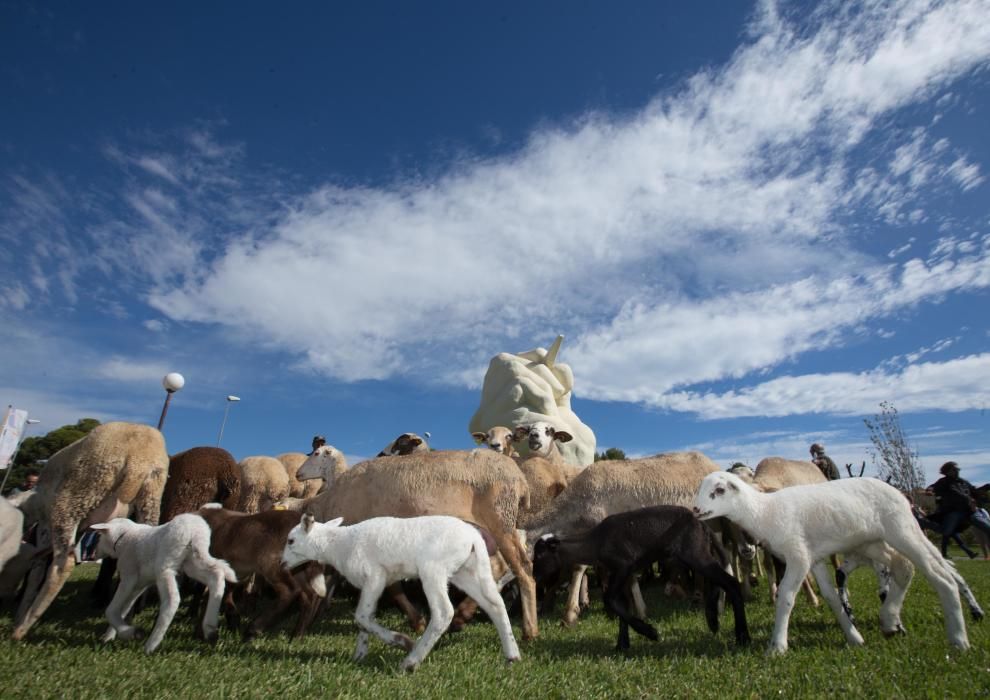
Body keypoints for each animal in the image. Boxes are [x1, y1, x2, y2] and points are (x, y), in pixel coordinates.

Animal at [93, 512, 240, 652]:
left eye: (99, 536)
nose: (93, 554)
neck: (125, 536)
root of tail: (195, 532)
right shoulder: (139, 584)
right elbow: (123, 608)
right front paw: (111, 636)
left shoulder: (128, 576)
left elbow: (111, 609)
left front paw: (129, 633)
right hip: (192, 561)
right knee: (216, 575)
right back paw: (210, 630)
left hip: (166, 566)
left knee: (172, 599)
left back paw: (151, 645)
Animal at [282, 516, 524, 672]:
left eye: (291, 540)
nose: (282, 564)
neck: (339, 545)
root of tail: (474, 537)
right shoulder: (370, 583)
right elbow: (364, 619)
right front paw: (359, 655)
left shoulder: (375, 576)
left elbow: (361, 616)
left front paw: (401, 641)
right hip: (467, 571)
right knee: (495, 605)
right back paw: (512, 655)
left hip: (433, 568)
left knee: (444, 613)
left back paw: (411, 661)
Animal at [692, 470, 972, 656]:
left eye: (719, 491)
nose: (695, 509)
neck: (765, 512)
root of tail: (903, 497)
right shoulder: (814, 559)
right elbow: (832, 598)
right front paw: (854, 637)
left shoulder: (799, 556)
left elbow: (786, 597)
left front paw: (777, 646)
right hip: (874, 542)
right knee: (903, 568)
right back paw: (890, 620)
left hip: (901, 531)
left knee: (940, 577)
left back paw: (959, 640)